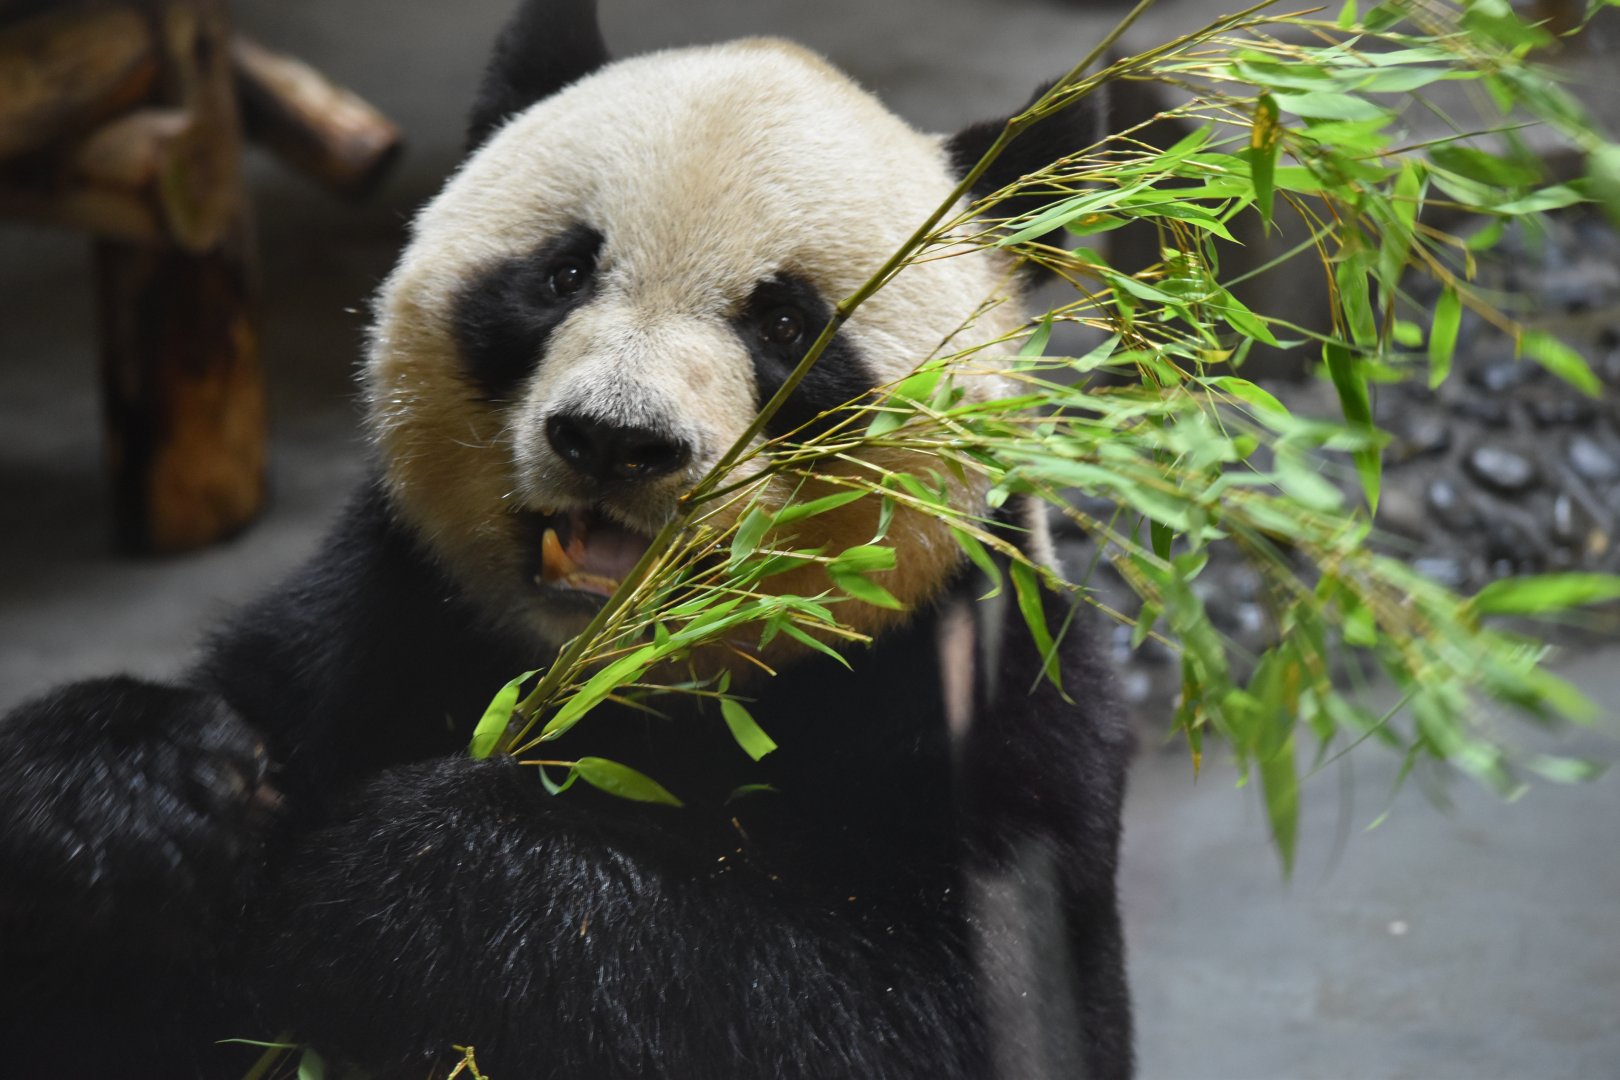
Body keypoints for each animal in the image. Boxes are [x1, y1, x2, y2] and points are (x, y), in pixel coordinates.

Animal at [0, 2, 1134, 1077]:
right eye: (562, 275)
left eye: (786, 325)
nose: (616, 440)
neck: (620, 692)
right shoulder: (371, 624)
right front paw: (136, 791)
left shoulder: (980, 705)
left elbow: (935, 1013)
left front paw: (422, 876)